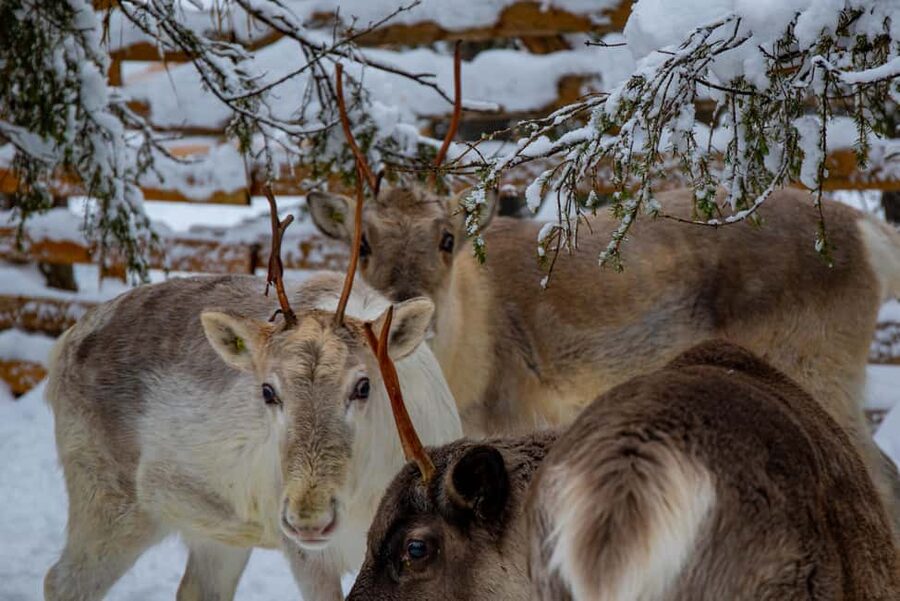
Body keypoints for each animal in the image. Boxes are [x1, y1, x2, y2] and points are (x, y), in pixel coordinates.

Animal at [43, 64, 463, 601]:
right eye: (267, 391)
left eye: (363, 385)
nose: (308, 515)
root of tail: (63, 348)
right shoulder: (305, 554)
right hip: (108, 501)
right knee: (61, 579)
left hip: (215, 531)